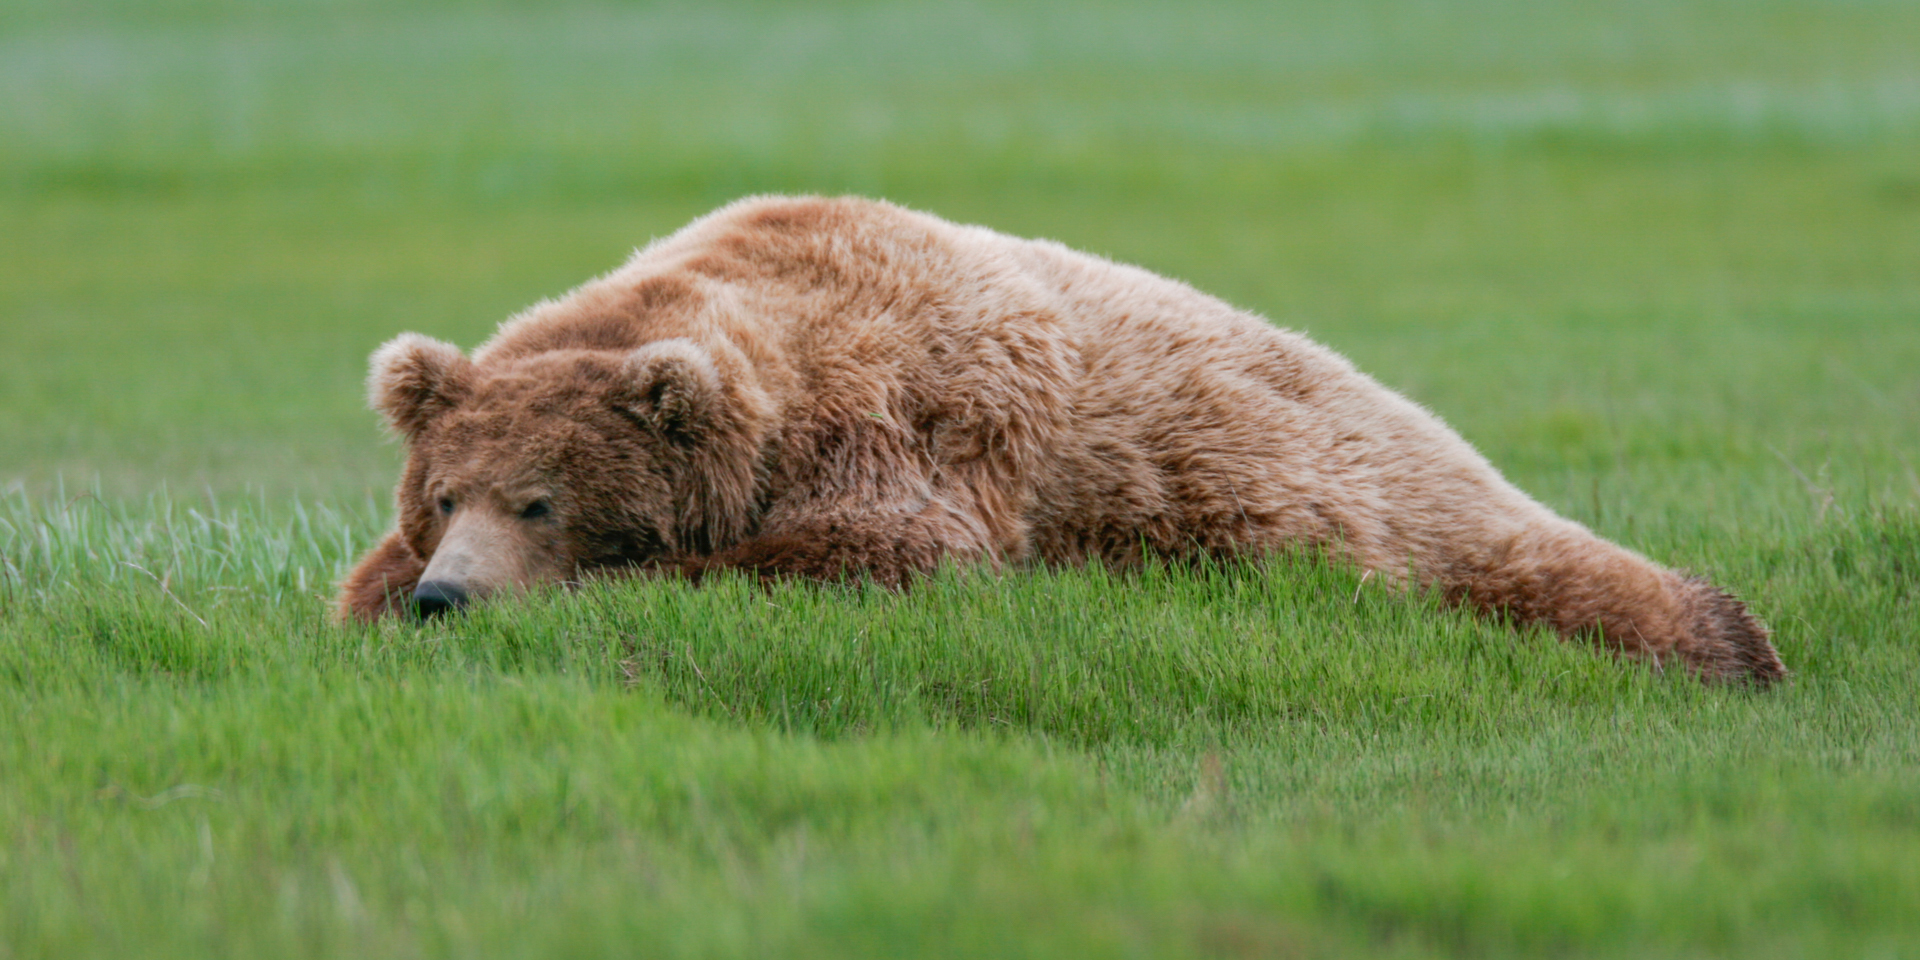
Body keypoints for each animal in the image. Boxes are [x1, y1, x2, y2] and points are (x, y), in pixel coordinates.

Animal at [337, 192, 1789, 683]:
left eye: (543, 499)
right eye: (446, 494)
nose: (450, 598)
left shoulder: (905, 432)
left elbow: (874, 557)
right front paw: (375, 599)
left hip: (1382, 496)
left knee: (1542, 565)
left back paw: (1726, 638)